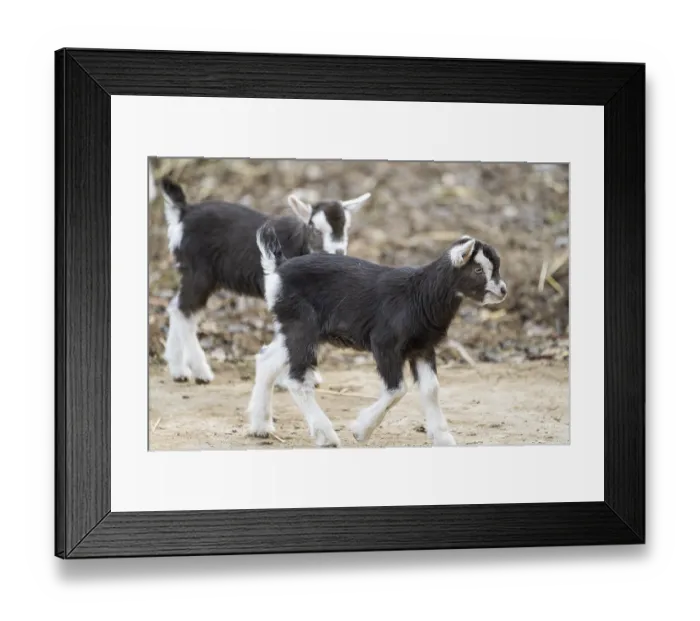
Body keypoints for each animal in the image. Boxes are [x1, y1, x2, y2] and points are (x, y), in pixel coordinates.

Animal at [159, 177, 371, 385]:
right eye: (316, 230)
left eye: (346, 229)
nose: (338, 251)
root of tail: (184, 212)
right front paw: (285, 378)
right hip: (200, 273)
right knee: (184, 312)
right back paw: (201, 372)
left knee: (175, 307)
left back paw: (178, 370)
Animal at [247, 221, 508, 447]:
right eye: (478, 269)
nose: (503, 290)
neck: (420, 294)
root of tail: (279, 269)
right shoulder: (385, 343)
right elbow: (397, 389)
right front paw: (360, 430)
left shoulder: (422, 346)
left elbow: (431, 388)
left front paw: (443, 439)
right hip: (302, 326)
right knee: (298, 379)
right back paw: (325, 435)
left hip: (296, 328)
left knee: (267, 360)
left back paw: (260, 426)